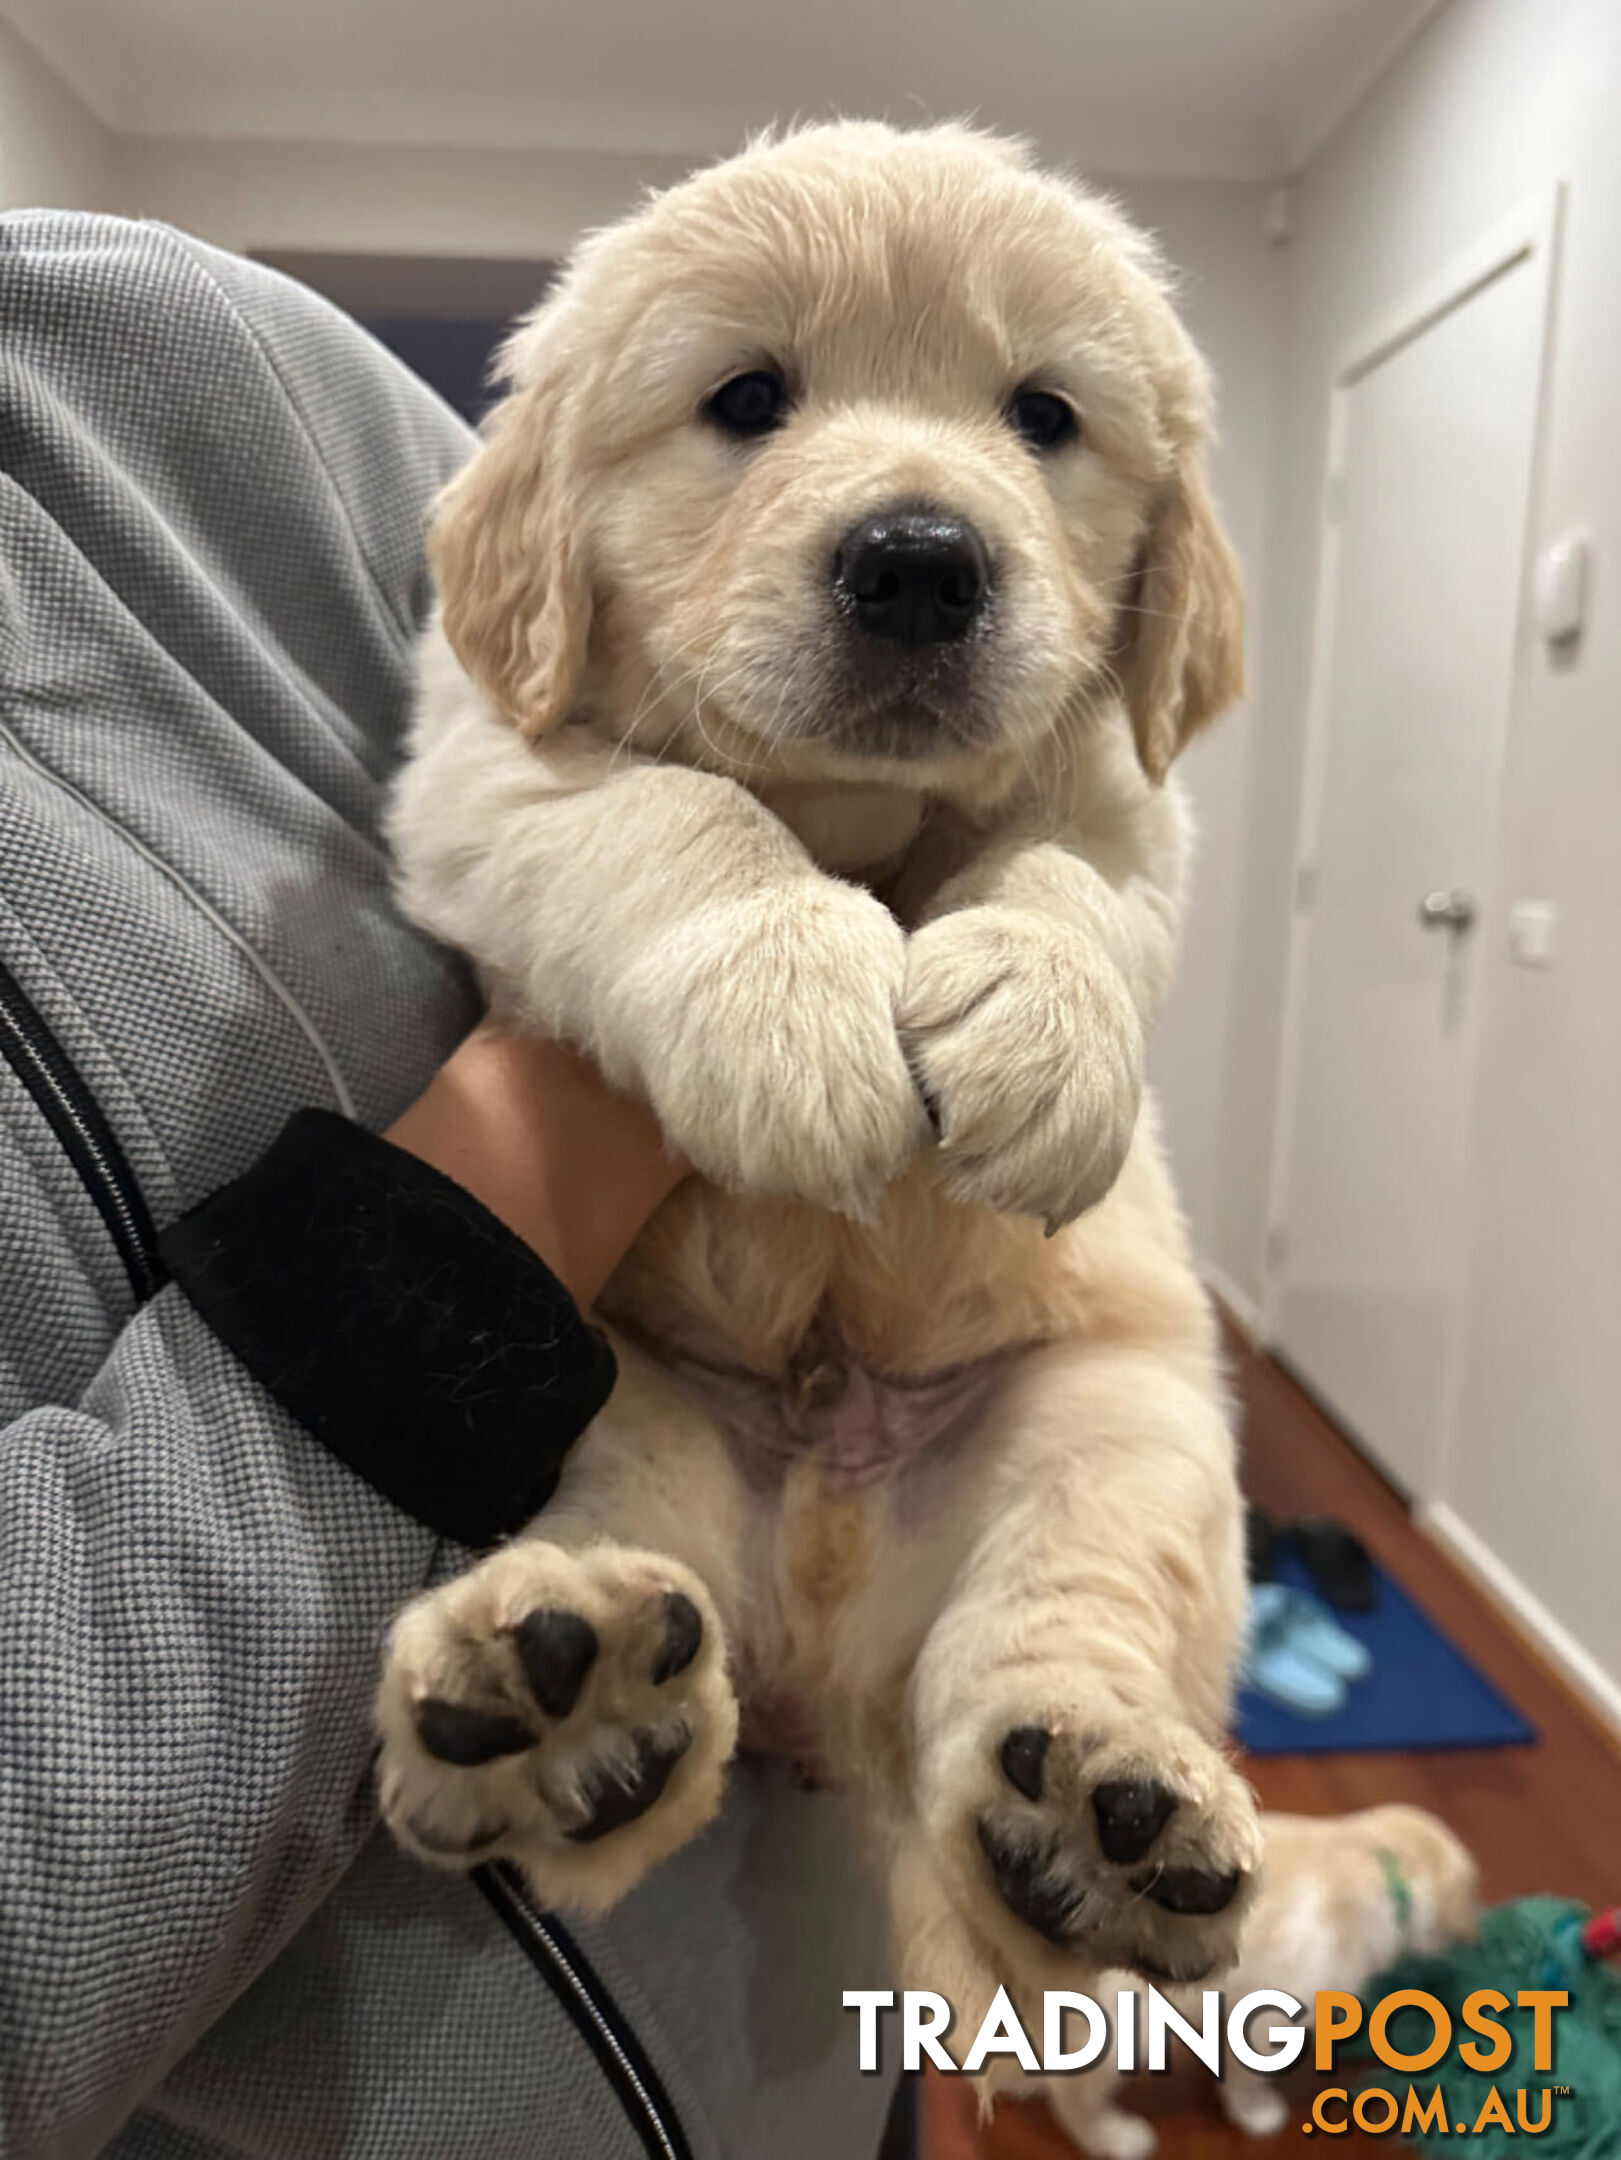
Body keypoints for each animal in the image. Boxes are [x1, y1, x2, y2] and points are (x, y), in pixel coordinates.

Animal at [378, 118, 1253, 2004]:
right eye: (746, 398)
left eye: (1043, 416)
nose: (919, 558)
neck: (856, 809)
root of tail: (825, 1666)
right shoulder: (491, 766)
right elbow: (675, 816)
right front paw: (789, 1011)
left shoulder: (1127, 790)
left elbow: (1063, 871)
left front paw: (1040, 1036)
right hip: (616, 1392)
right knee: (642, 1628)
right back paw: (561, 1695)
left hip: (1115, 1423)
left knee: (1039, 1657)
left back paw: (1098, 1813)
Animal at [1033, 1805, 1478, 2160]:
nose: (1471, 1940)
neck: (1379, 1855)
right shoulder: (1269, 2020)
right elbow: (1248, 2076)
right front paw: (1255, 2112)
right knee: (1069, 2094)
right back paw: (1115, 2137)